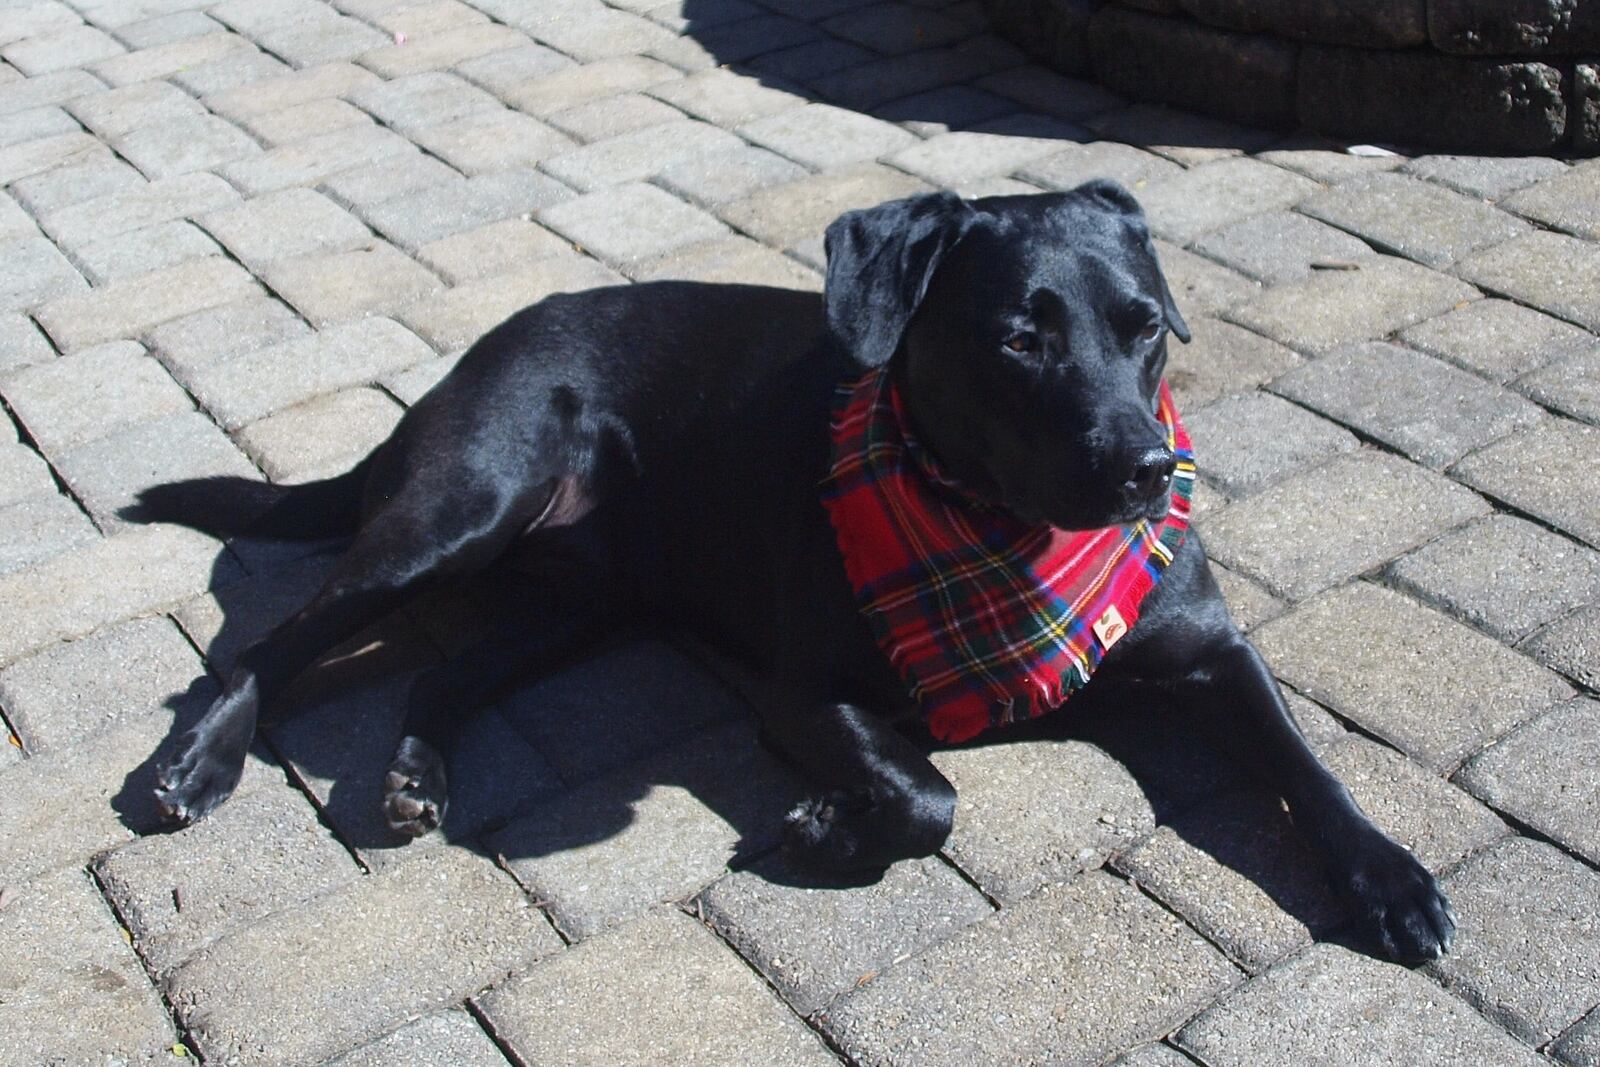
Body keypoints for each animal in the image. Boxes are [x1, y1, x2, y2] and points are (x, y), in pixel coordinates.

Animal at [140, 185, 1465, 966]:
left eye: (1144, 327)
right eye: (1019, 338)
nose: (1150, 470)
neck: (1008, 540)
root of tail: (473, 352)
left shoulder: (1209, 648)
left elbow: (1306, 761)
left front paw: (1391, 876)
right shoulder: (802, 690)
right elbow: (930, 794)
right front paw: (834, 825)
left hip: (580, 599)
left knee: (439, 674)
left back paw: (416, 774)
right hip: (462, 508)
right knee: (261, 646)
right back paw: (193, 764)